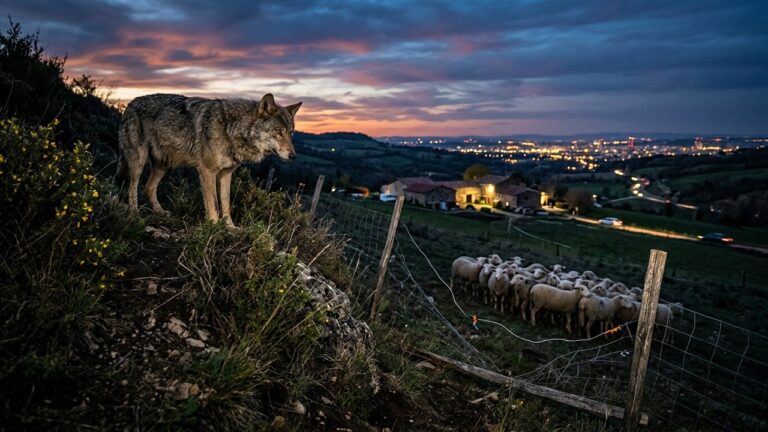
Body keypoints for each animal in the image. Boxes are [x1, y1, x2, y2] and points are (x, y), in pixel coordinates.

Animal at [116, 93, 301, 226]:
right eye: (278, 132)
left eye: (291, 133)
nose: (293, 156)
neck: (231, 129)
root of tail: (130, 104)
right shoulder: (207, 171)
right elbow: (213, 204)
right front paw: (213, 227)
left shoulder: (226, 174)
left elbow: (225, 204)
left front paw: (230, 228)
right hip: (139, 161)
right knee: (132, 187)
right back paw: (135, 215)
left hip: (164, 165)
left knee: (148, 187)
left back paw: (160, 212)